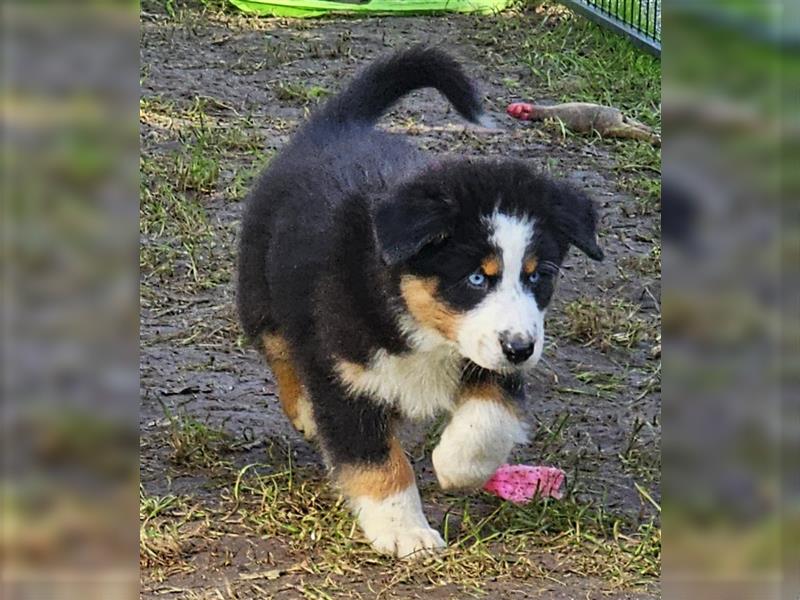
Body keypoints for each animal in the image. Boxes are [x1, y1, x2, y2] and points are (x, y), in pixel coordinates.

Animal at [234, 45, 604, 556]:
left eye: (538, 276)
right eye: (476, 278)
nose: (521, 349)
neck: (421, 327)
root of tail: (337, 125)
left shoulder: (492, 360)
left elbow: (489, 418)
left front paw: (456, 465)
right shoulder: (344, 375)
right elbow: (376, 460)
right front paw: (404, 531)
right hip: (261, 293)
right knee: (279, 350)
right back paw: (305, 412)